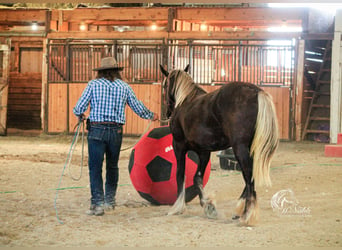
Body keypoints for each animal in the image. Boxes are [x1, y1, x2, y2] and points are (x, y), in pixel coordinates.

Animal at [160, 64, 278, 225]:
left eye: (165, 86)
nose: (167, 112)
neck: (185, 102)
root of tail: (256, 92)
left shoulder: (179, 146)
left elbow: (180, 175)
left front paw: (177, 207)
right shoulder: (204, 152)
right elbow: (197, 178)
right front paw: (208, 206)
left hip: (239, 148)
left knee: (248, 176)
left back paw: (247, 214)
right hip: (249, 149)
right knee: (250, 175)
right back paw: (239, 209)